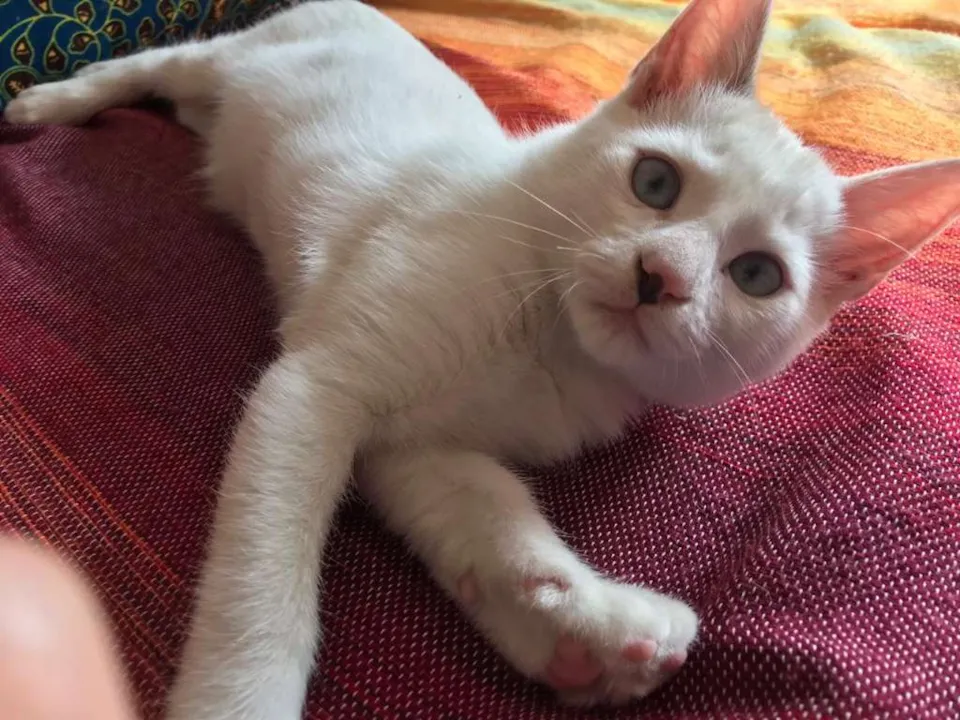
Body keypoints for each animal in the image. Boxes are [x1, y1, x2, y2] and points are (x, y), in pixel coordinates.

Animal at [6, 0, 960, 717]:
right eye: (655, 181)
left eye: (758, 275)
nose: (660, 277)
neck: (548, 343)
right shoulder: (316, 387)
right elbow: (265, 591)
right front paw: (240, 697)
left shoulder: (414, 446)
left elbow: (478, 502)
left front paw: (580, 626)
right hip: (229, 58)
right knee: (162, 62)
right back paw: (50, 102)